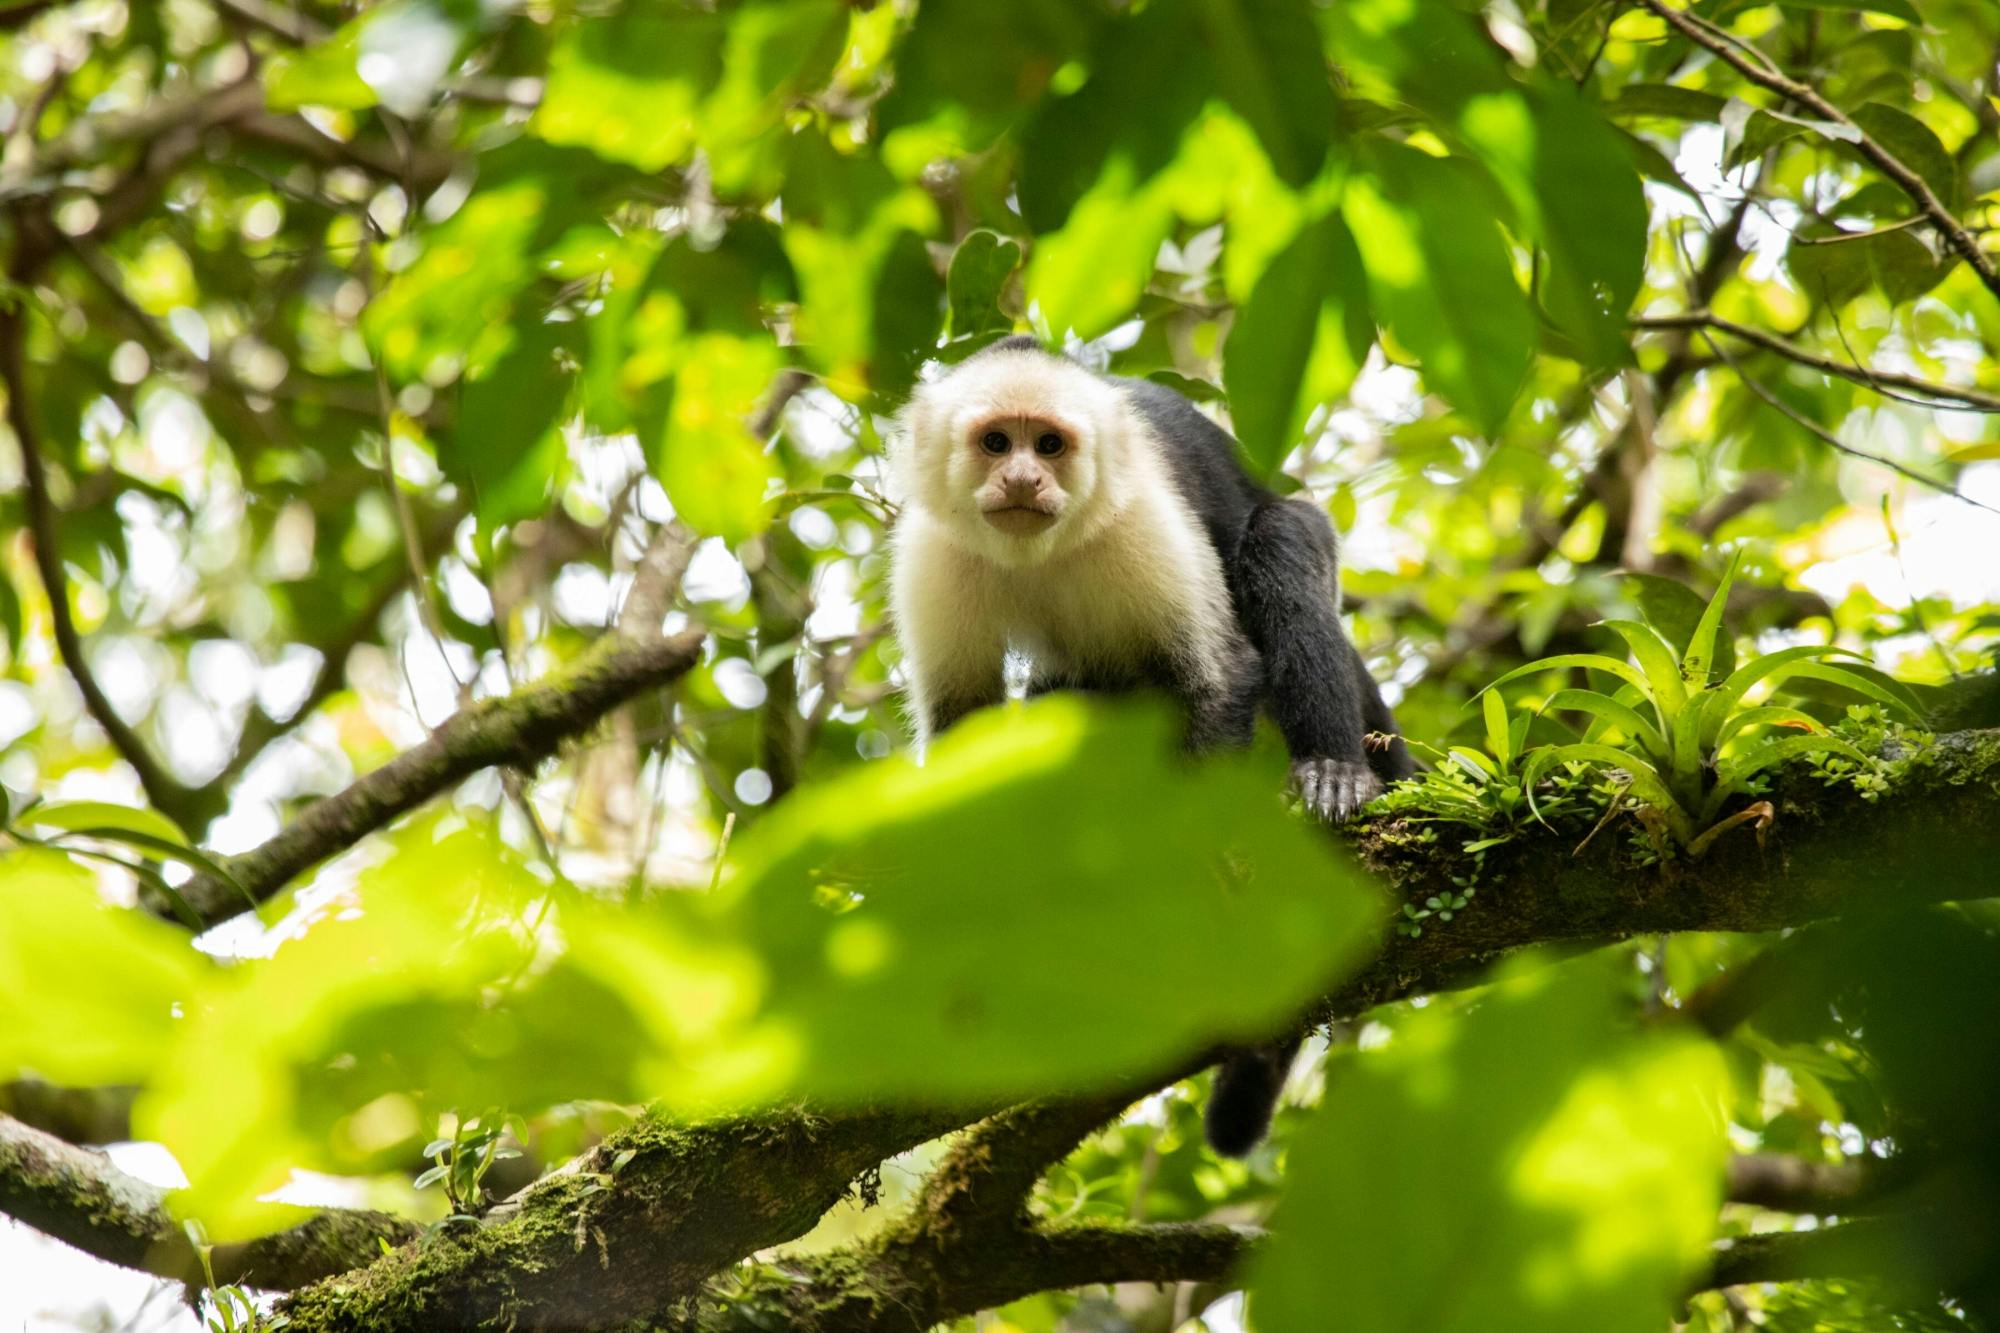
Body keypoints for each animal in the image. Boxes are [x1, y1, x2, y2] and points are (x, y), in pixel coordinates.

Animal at [892, 334, 1424, 1152]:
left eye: (1049, 445)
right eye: (995, 443)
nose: (1023, 478)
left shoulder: (1141, 522)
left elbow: (1220, 677)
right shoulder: (936, 553)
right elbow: (963, 733)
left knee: (1278, 546)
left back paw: (1332, 770)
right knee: (1067, 696)